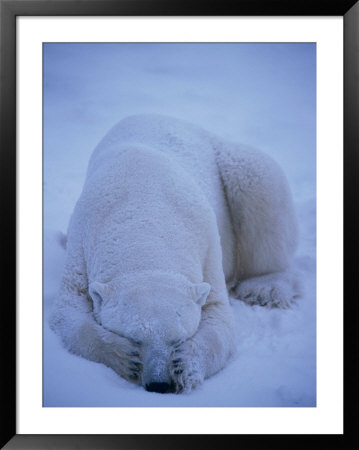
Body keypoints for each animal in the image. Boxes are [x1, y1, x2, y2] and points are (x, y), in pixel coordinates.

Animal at [49, 113, 300, 394]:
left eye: (178, 339)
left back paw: (265, 289)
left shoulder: (207, 247)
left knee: (261, 186)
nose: (160, 384)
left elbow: (218, 316)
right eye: (135, 338)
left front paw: (186, 366)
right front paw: (125, 358)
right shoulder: (82, 240)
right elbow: (67, 312)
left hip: (230, 162)